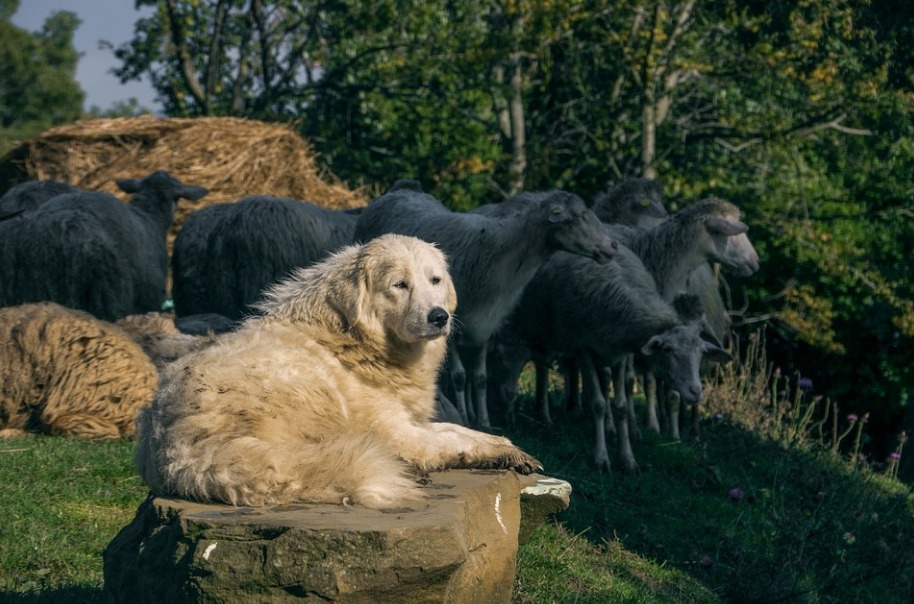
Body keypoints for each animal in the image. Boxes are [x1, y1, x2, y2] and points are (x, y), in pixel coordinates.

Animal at [132, 234, 536, 508]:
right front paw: (505, 452)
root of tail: (171, 447)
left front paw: (508, 447)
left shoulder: (413, 420)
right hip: (298, 386)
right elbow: (453, 441)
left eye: (434, 280)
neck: (351, 339)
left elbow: (460, 430)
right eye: (400, 285)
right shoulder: (400, 432)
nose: (439, 317)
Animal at [352, 180, 616, 430]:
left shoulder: (484, 323)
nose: (612, 247)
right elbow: (459, 376)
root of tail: (402, 189)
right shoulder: (452, 324)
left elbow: (479, 377)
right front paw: (465, 417)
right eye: (576, 217)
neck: (499, 252)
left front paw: (484, 420)